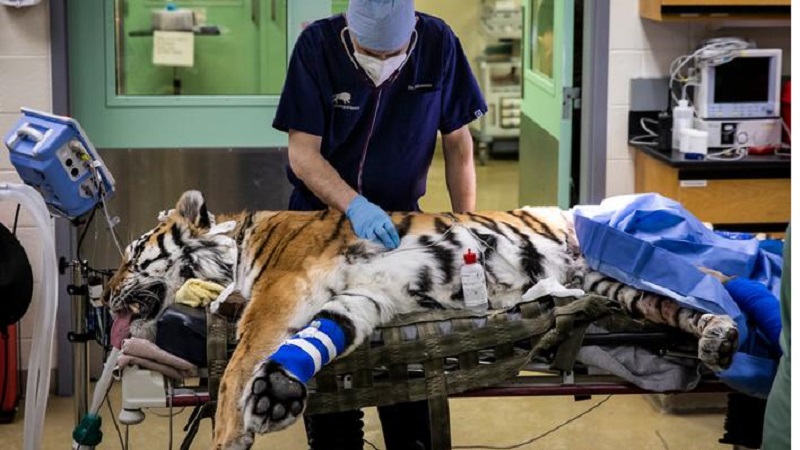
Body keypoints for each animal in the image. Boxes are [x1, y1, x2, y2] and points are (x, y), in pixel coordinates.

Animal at [105, 190, 739, 450]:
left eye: (133, 254)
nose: (104, 293)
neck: (235, 245)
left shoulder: (282, 289)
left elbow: (237, 363)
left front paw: (230, 430)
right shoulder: (361, 300)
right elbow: (315, 340)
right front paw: (279, 394)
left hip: (633, 250)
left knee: (717, 273)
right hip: (613, 286)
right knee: (682, 304)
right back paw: (719, 340)